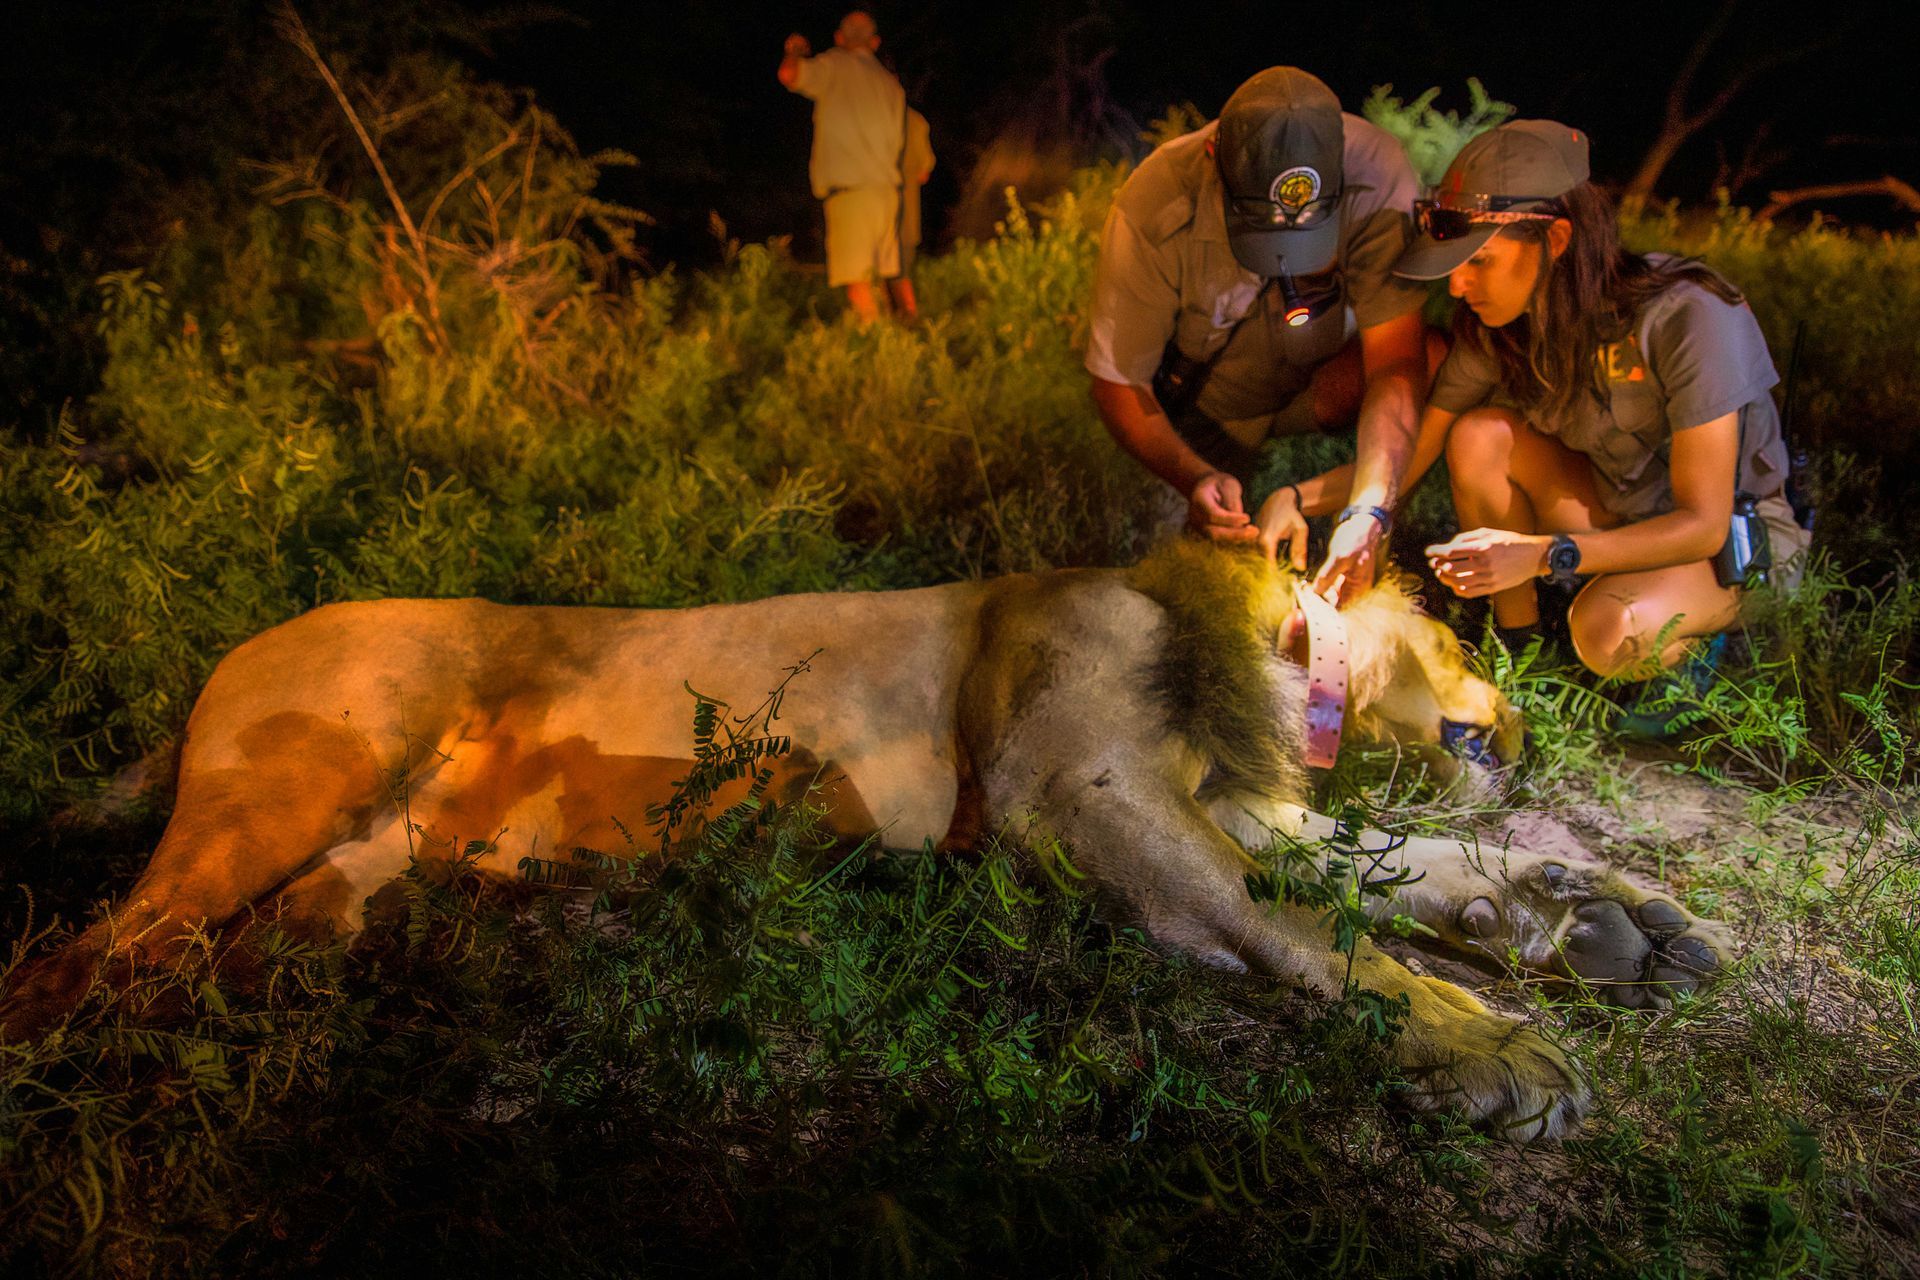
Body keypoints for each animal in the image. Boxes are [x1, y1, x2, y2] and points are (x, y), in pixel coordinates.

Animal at [2, 541, 1732, 1139]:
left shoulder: (1221, 802)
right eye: (1452, 620)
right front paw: (1498, 1045)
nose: (1524, 728)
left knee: (239, 955)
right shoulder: (1073, 797)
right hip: (292, 784)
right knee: (81, 966)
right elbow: (1315, 925)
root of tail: (218, 660)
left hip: (360, 868)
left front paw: (1608, 923)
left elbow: (1396, 874)